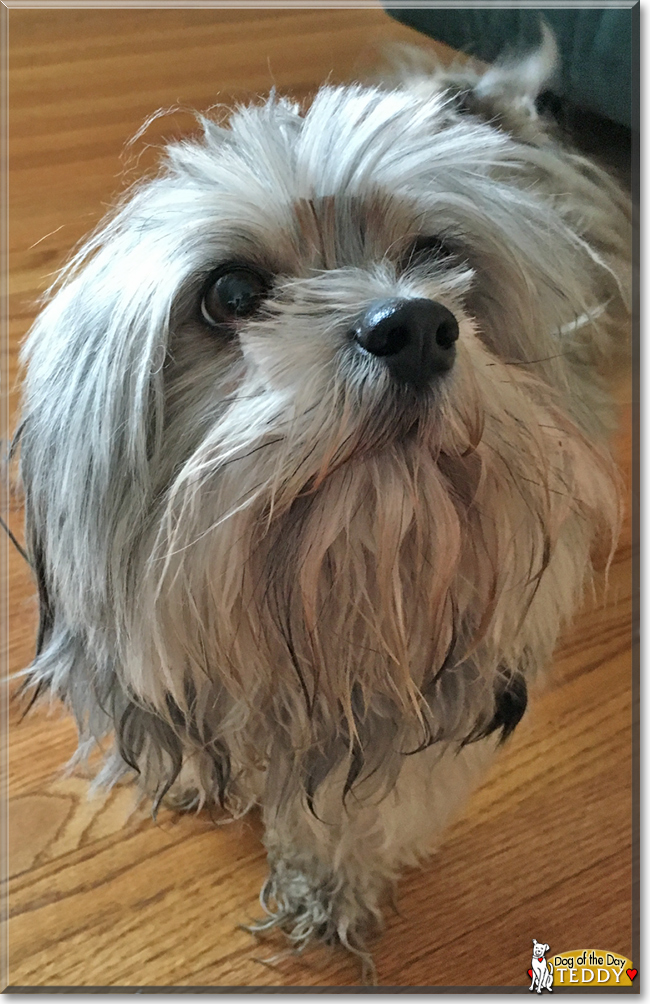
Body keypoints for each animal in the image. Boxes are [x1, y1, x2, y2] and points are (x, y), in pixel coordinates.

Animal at [17, 31, 634, 979]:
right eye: (231, 294)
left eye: (435, 257)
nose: (415, 326)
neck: (331, 600)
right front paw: (198, 773)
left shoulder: (441, 711)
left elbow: (370, 813)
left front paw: (330, 881)